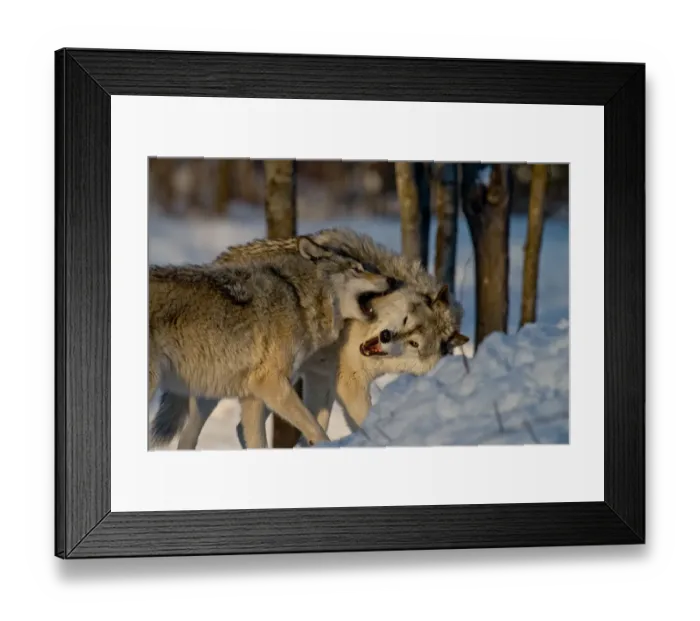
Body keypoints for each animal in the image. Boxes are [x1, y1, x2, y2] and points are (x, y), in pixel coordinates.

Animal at [152, 228, 469, 450]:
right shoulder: (346, 381)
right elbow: (349, 420)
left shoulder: (322, 378)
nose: (387, 336)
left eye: (415, 344)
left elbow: (323, 421)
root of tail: (220, 259)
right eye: (405, 320)